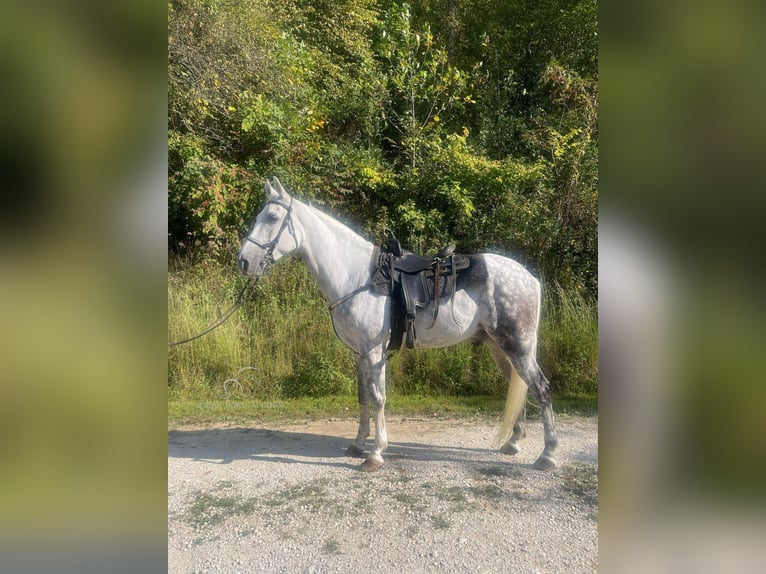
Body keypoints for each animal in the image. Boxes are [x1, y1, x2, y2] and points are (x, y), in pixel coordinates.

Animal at [236, 179, 560, 472]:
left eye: (273, 217)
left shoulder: (373, 351)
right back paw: (513, 443)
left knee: (542, 389)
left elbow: (378, 398)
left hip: (518, 346)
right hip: (499, 347)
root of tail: (529, 278)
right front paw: (357, 444)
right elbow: (363, 397)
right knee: (519, 387)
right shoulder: (359, 354)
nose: (244, 262)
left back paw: (548, 455)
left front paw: (376, 453)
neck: (358, 277)